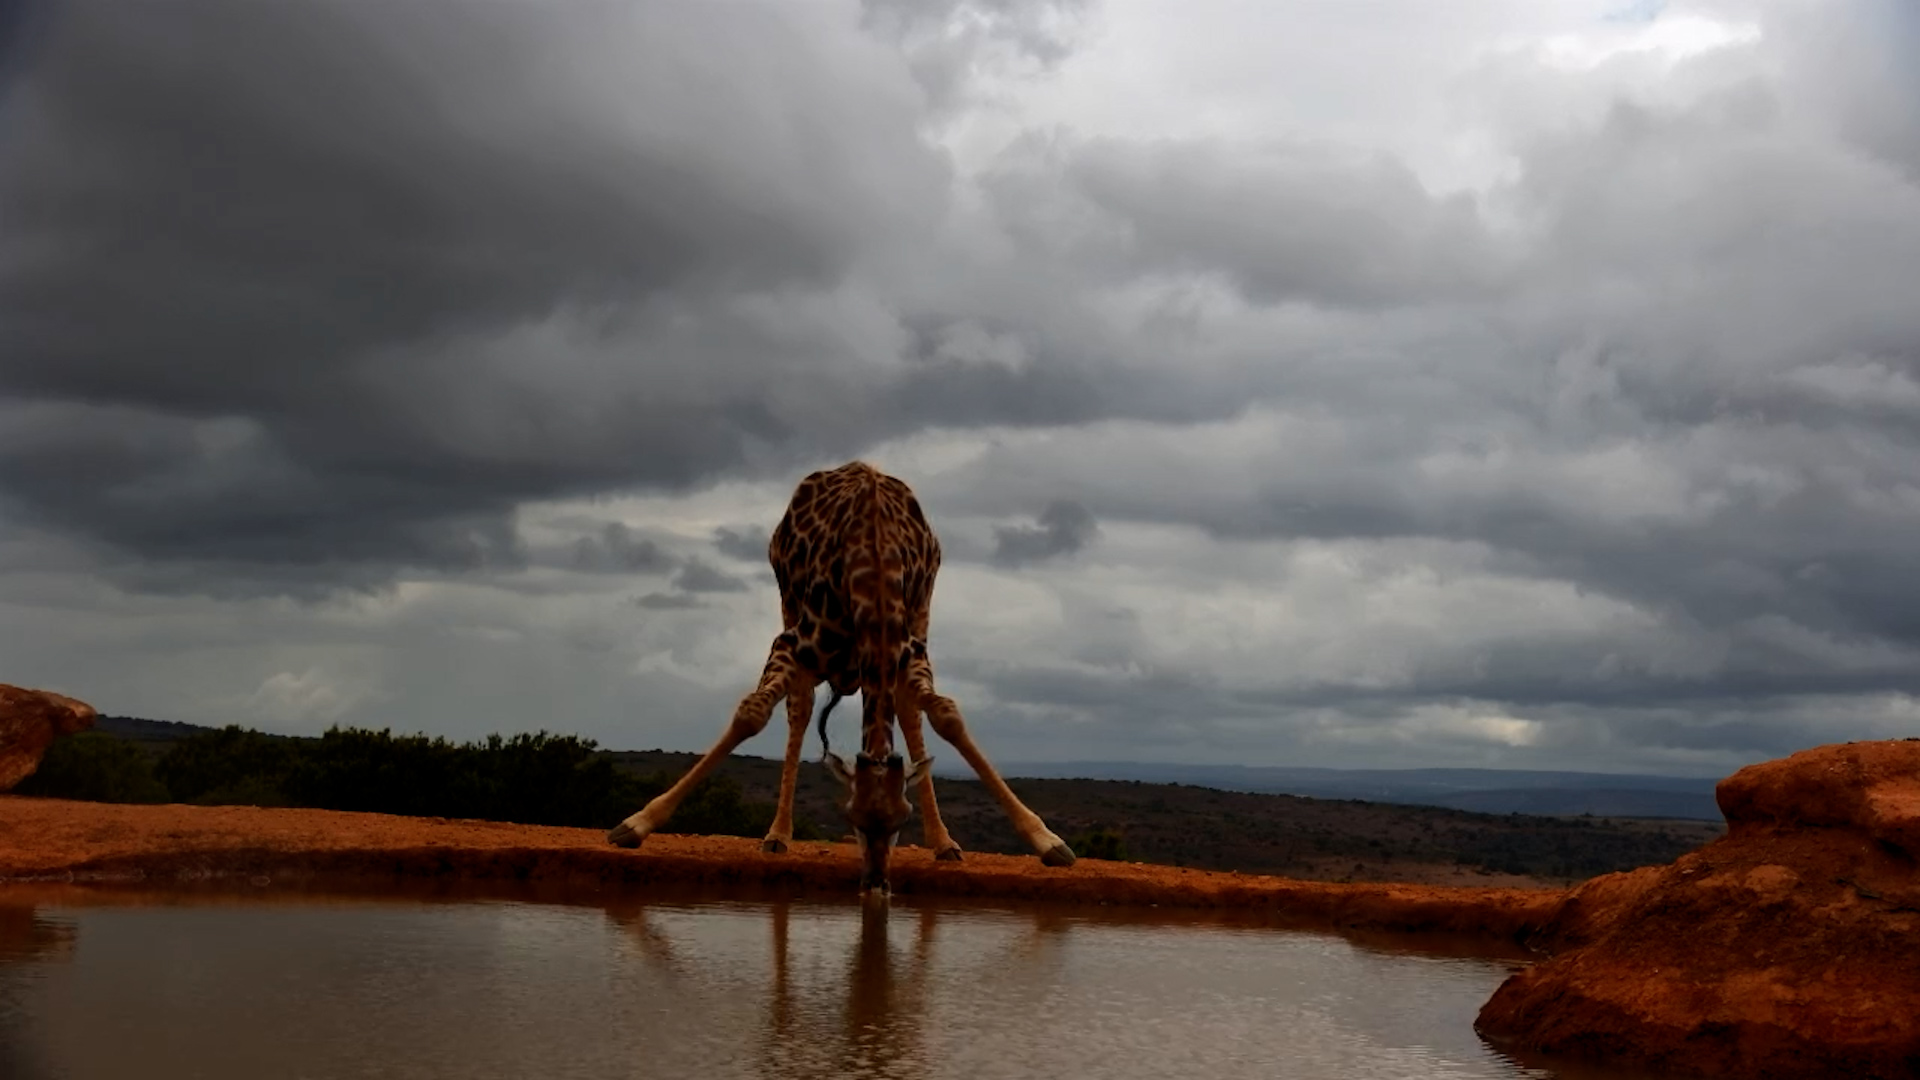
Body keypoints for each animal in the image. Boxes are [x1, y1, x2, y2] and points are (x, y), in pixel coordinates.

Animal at [608, 461, 1076, 894]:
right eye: (851, 817)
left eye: (901, 819)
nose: (876, 884)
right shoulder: (791, 642)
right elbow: (752, 713)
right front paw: (635, 824)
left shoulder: (911, 651)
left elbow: (947, 716)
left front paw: (1047, 841)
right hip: (788, 602)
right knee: (799, 709)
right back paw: (777, 835)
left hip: (922, 611)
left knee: (908, 710)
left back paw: (944, 843)